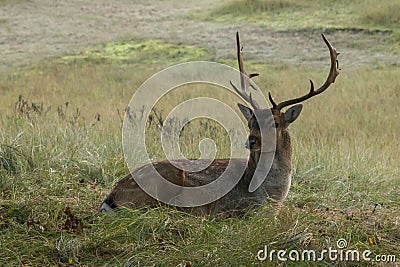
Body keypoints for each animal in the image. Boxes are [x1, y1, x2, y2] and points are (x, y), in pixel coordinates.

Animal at [101, 32, 340, 219]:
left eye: (276, 123)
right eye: (250, 121)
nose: (251, 140)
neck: (271, 195)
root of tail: (111, 197)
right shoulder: (230, 209)